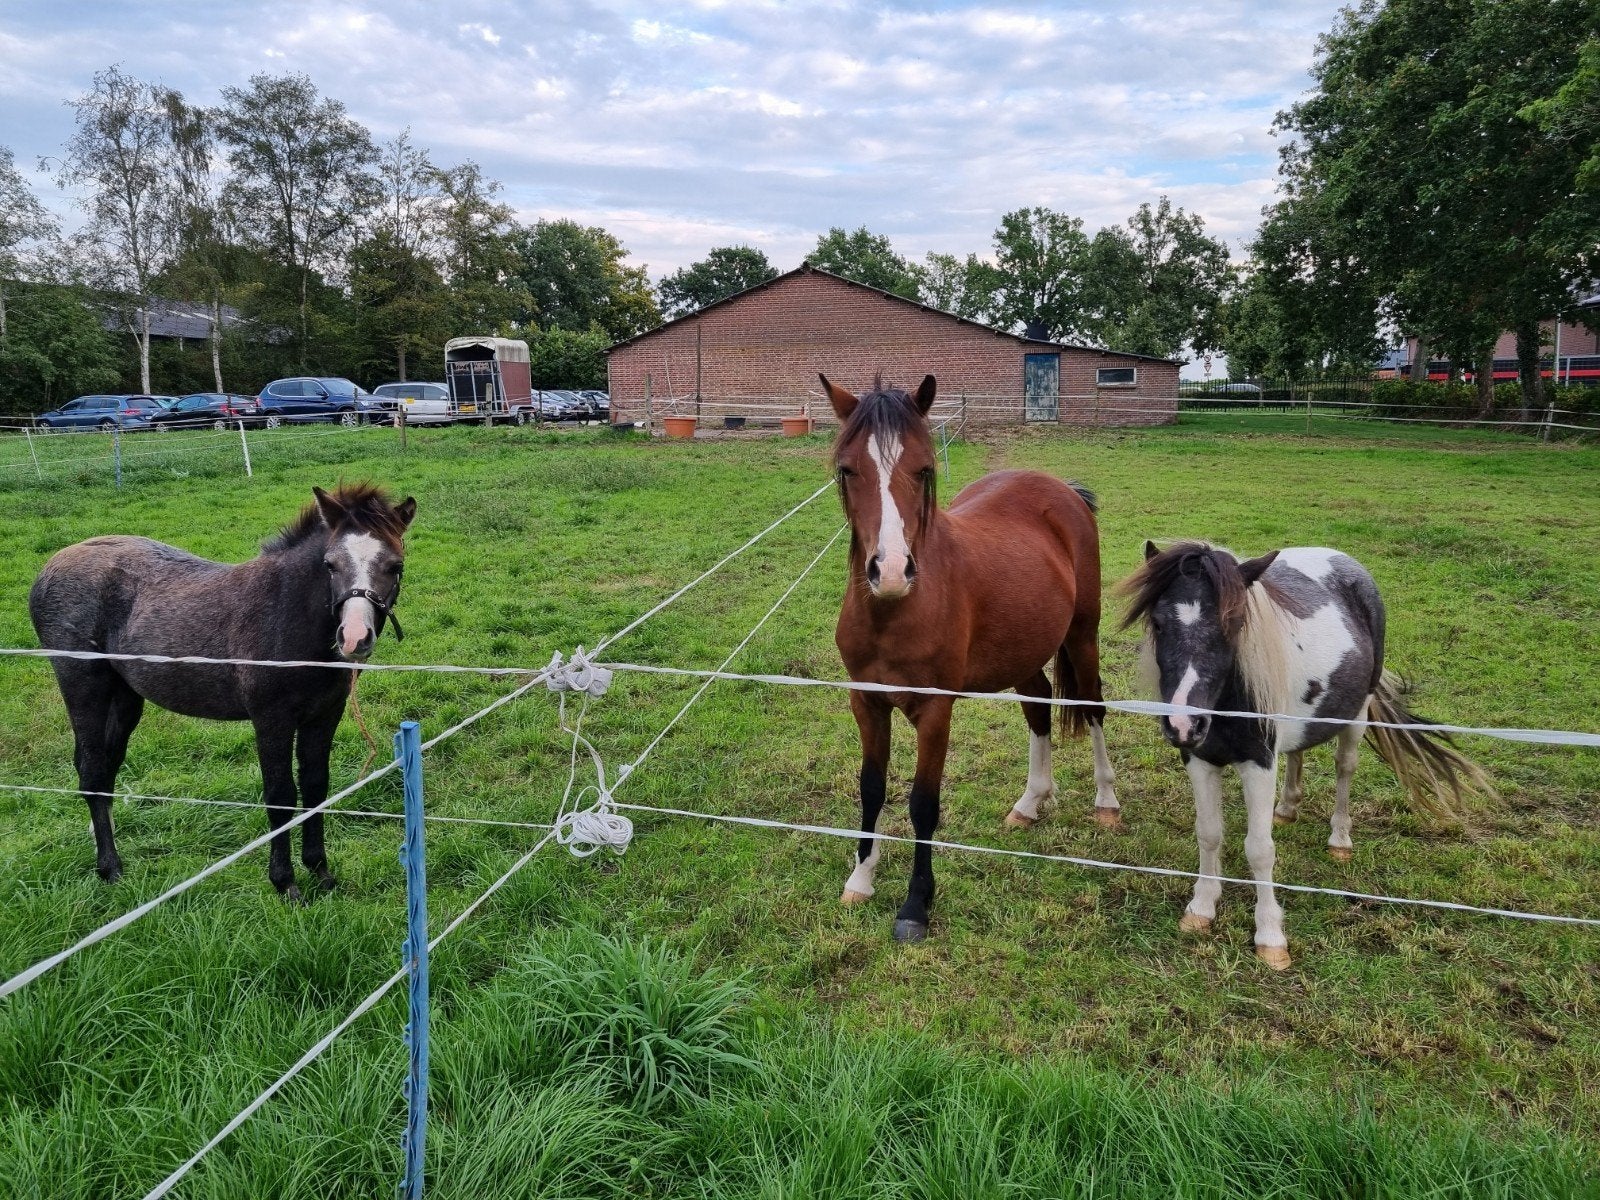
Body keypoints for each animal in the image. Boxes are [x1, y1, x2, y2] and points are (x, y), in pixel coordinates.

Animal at [28, 483, 415, 901]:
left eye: (395, 566)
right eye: (330, 564)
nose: (355, 637)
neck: (286, 613)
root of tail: (50, 567)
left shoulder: (324, 715)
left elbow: (316, 787)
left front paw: (321, 871)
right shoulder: (271, 720)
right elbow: (280, 795)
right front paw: (285, 883)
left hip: (126, 697)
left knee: (107, 770)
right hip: (83, 688)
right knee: (92, 769)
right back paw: (110, 868)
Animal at [822, 373, 1118, 943]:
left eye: (924, 469)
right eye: (847, 470)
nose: (891, 572)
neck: (895, 613)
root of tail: (1064, 491)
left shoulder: (937, 710)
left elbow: (922, 803)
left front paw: (915, 905)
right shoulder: (866, 702)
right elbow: (871, 788)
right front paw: (861, 878)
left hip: (1082, 635)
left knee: (1092, 704)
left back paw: (1107, 802)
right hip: (1024, 650)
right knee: (1038, 705)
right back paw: (1030, 803)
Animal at [1121, 541, 1492, 969]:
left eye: (1234, 623)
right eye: (1158, 622)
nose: (1183, 723)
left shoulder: (1259, 764)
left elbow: (1259, 849)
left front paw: (1270, 937)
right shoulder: (1199, 760)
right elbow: (1209, 834)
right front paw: (1201, 909)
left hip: (1355, 715)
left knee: (1345, 769)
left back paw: (1340, 840)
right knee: (1297, 754)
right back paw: (1286, 809)